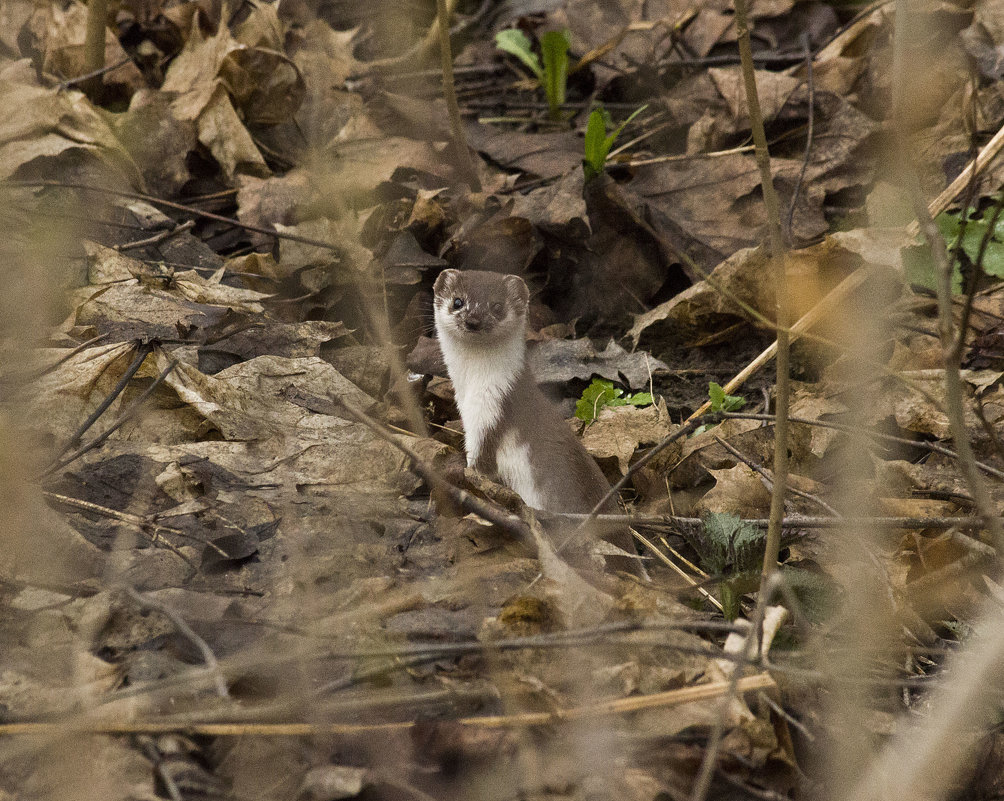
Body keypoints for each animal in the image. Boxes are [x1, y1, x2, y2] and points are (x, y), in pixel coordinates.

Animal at [431, 269, 642, 578]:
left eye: (496, 305)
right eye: (458, 301)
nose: (473, 320)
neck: (471, 389)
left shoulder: (490, 418)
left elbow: (479, 467)